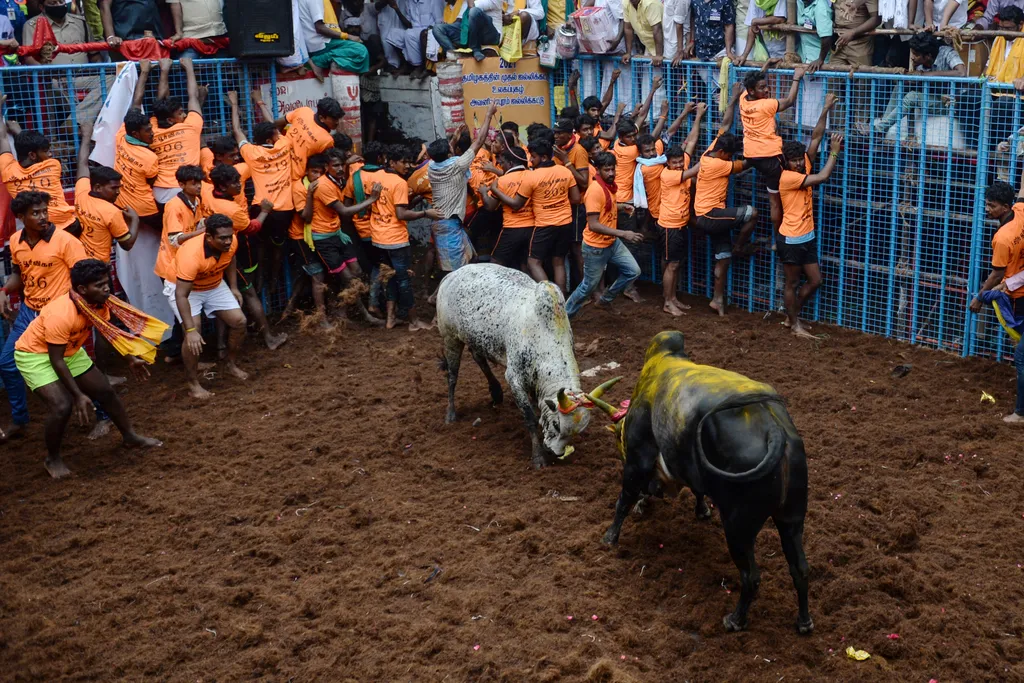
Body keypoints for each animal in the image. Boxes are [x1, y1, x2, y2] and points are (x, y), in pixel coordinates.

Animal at [436, 264, 618, 466]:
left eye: (575, 433)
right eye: (556, 424)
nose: (556, 452)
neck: (545, 334)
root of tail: (451, 276)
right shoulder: (515, 379)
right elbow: (530, 417)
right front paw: (538, 457)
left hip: (476, 339)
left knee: (478, 357)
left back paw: (496, 392)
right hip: (450, 338)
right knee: (452, 376)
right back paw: (451, 414)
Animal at [589, 331, 811, 634]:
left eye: (619, 440)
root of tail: (775, 431)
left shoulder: (637, 459)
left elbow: (623, 499)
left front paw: (610, 536)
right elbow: (696, 489)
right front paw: (701, 510)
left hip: (739, 528)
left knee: (751, 577)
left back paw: (735, 620)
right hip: (792, 518)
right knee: (800, 568)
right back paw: (804, 622)